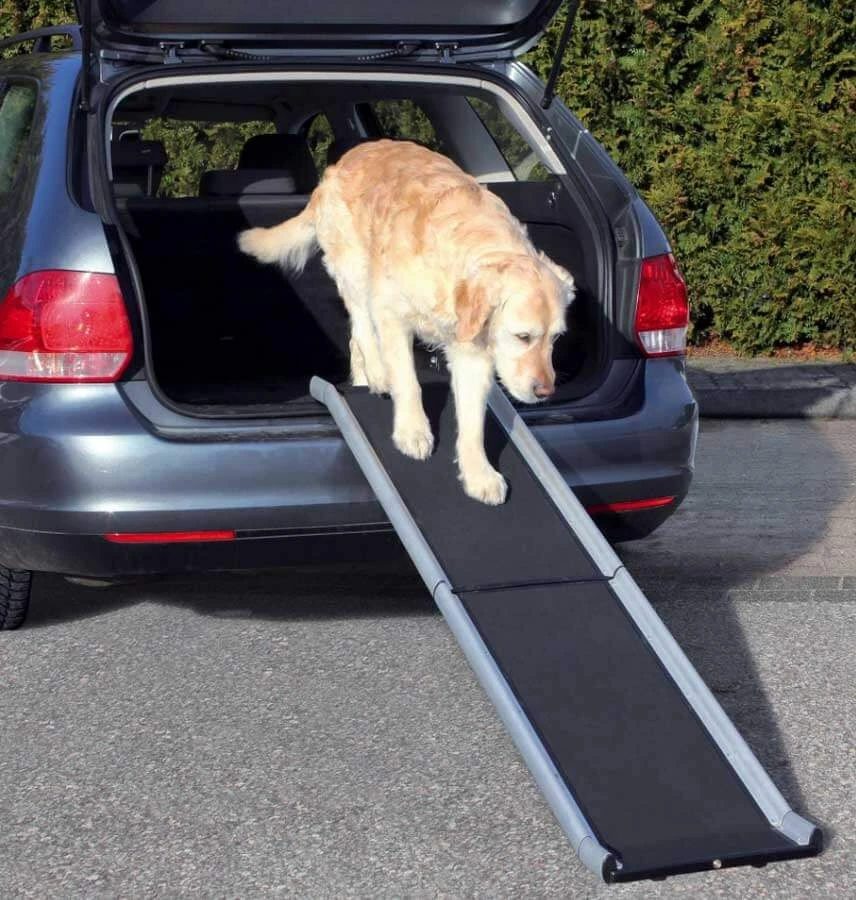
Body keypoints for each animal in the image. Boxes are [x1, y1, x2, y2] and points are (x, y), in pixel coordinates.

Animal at [238, 139, 574, 505]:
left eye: (556, 339)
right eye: (523, 336)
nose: (546, 391)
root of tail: (340, 163)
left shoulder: (473, 353)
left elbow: (473, 422)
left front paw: (478, 474)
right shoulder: (392, 312)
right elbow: (408, 381)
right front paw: (412, 431)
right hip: (356, 269)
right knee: (362, 327)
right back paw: (378, 373)